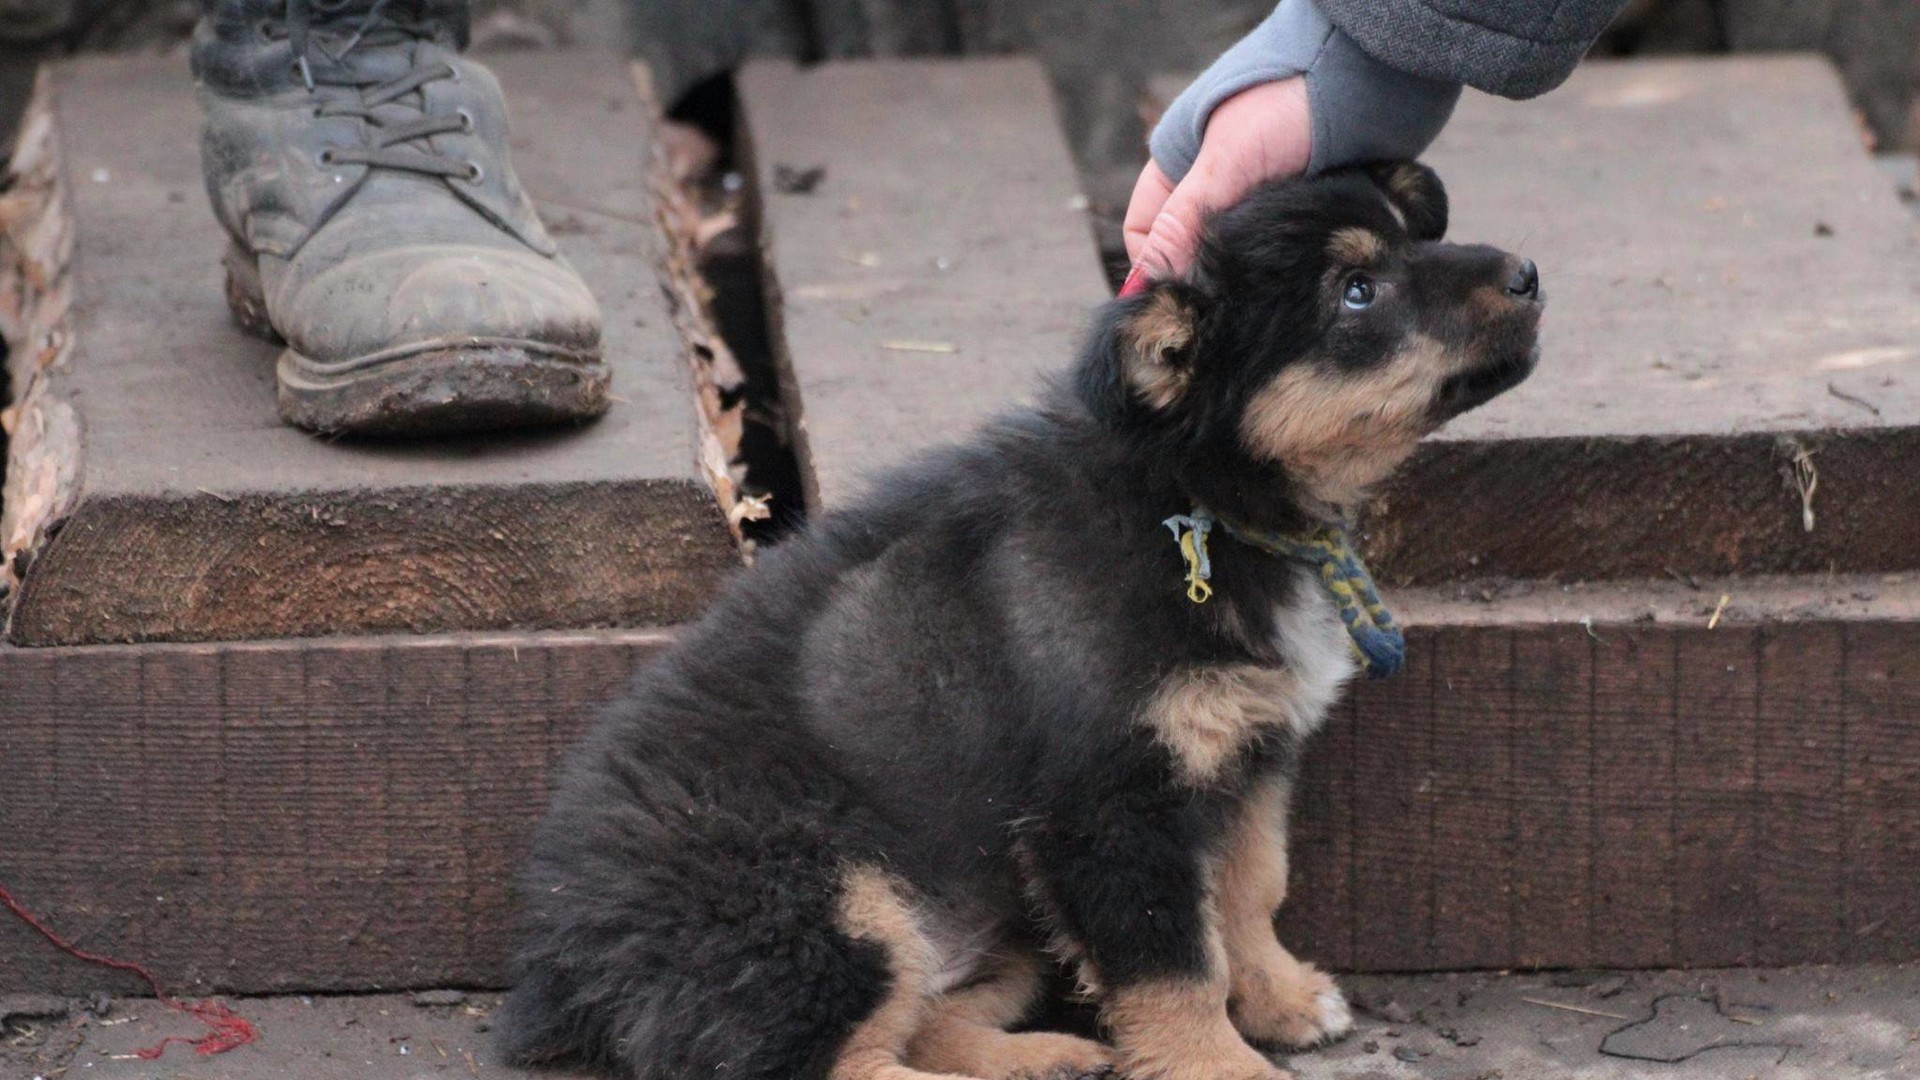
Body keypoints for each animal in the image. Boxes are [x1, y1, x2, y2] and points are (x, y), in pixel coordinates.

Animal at [499, 161, 1543, 1076]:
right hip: (830, 906)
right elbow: (1174, 963)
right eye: (1358, 291)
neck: (1190, 496)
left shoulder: (1240, 756)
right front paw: (1220, 1065)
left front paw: (1279, 998)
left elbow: (1248, 893)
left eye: (1413, 238)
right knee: (825, 1062)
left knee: (919, 1021)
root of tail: (564, 965)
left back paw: (1042, 1059)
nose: (1529, 273)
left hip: (987, 924)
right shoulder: (1107, 804)